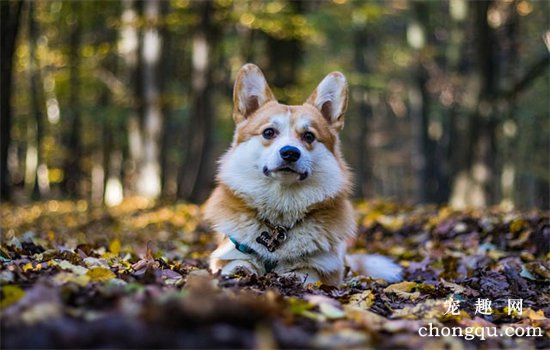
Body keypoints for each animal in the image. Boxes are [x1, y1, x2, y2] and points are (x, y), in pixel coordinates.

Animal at [205, 64, 404, 286]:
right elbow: (235, 265)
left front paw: (290, 277)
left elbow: (306, 274)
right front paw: (242, 271)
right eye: (268, 132)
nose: (290, 153)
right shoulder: (227, 253)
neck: (280, 219)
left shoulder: (327, 268)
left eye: (309, 136)